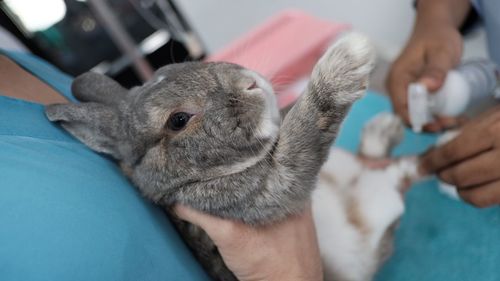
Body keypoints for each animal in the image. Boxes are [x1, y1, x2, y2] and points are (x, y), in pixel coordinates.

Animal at [47, 32, 376, 278]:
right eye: (178, 120)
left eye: (183, 65)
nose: (249, 82)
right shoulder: (269, 189)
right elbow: (303, 129)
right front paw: (350, 56)